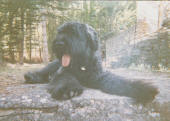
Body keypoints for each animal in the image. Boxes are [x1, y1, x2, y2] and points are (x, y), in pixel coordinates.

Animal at [24, 21, 159, 103]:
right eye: (60, 32)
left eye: (73, 33)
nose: (59, 44)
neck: (82, 65)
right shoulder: (62, 73)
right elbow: (66, 78)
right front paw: (67, 90)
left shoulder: (100, 77)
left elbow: (120, 81)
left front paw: (142, 89)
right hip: (52, 66)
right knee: (43, 72)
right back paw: (31, 76)